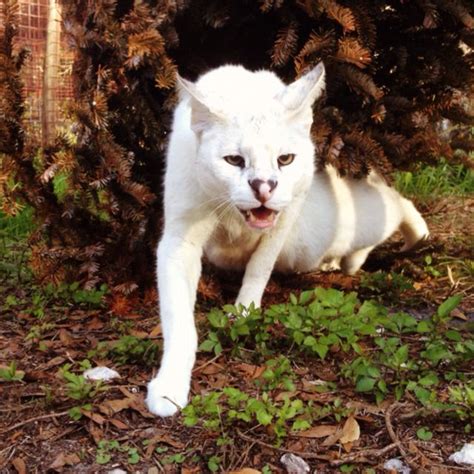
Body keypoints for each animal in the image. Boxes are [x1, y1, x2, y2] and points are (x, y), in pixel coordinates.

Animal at [145, 62, 430, 414]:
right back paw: (338, 262)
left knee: (396, 201)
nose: (264, 187)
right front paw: (170, 386)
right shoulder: (179, 240)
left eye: (285, 159)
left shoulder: (286, 217)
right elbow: (179, 321)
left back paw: (411, 239)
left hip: (347, 220)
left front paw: (244, 311)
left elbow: (259, 266)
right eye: (234, 160)